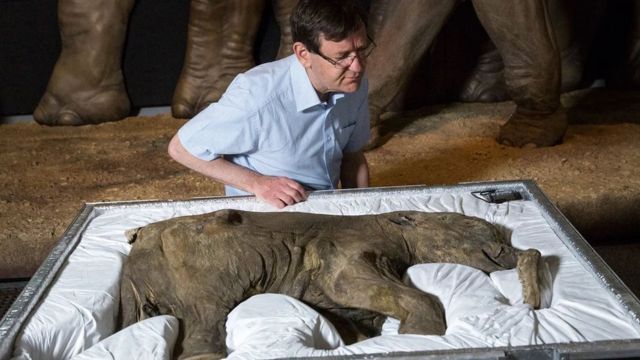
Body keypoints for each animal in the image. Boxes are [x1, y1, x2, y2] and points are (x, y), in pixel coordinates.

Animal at [120, 210, 540, 358]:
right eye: (471, 225)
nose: (507, 247)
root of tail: (139, 238)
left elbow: (355, 318)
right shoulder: (349, 248)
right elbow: (348, 284)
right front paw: (418, 335)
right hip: (199, 269)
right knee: (204, 323)